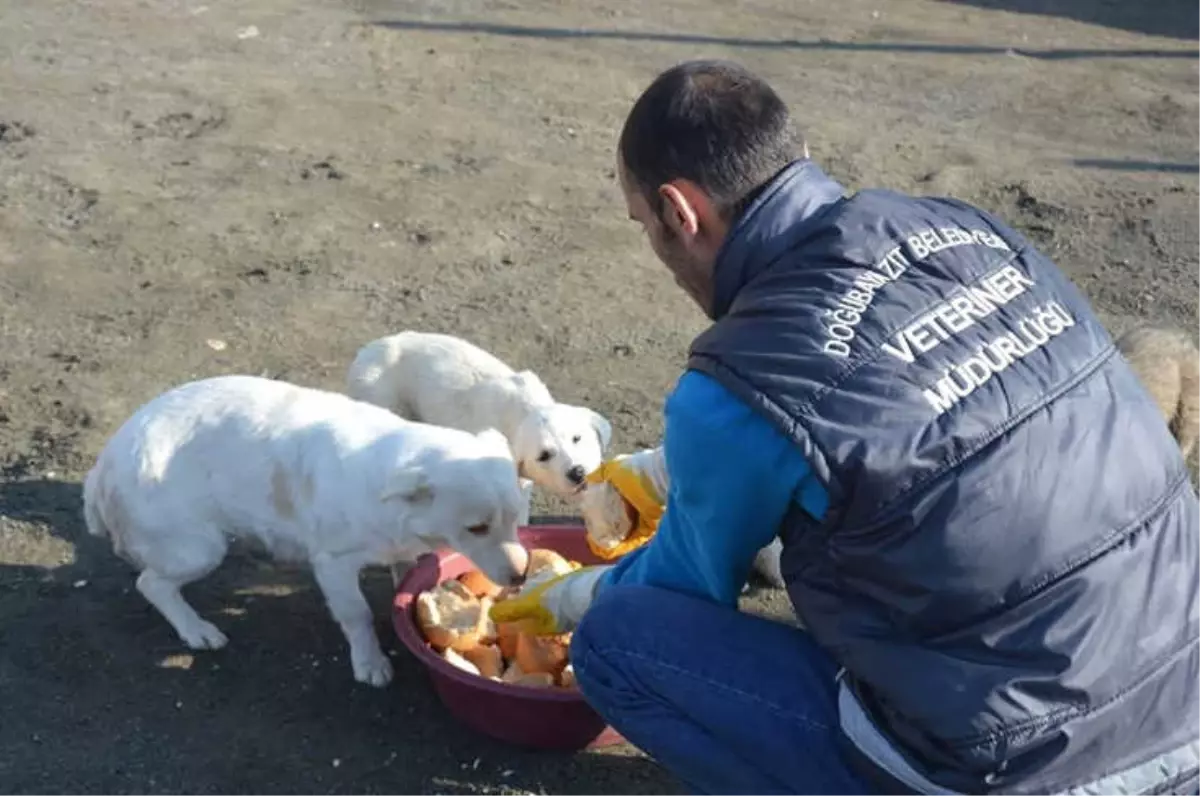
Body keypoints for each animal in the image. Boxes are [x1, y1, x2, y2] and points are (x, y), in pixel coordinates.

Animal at [84, 376, 530, 686]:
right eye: (476, 528)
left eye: (517, 517)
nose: (521, 574)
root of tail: (102, 466)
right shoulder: (333, 564)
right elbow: (356, 614)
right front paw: (370, 662)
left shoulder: (401, 551)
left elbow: (402, 579)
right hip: (198, 549)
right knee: (151, 584)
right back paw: (197, 630)